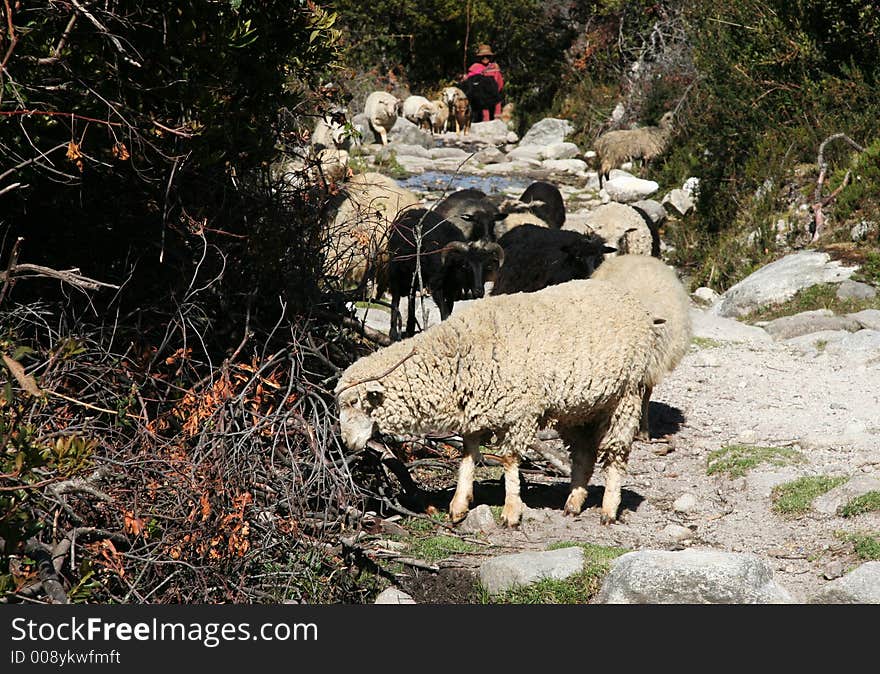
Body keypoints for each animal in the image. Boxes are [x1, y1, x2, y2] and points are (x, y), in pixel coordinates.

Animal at [334, 278, 664, 524]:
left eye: (355, 404)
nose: (347, 444)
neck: (459, 353)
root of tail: (630, 299)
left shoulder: (520, 412)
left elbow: (509, 460)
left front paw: (511, 510)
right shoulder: (475, 410)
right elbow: (468, 456)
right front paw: (459, 505)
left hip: (626, 396)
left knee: (616, 454)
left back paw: (609, 508)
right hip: (580, 408)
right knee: (584, 452)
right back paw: (573, 502)